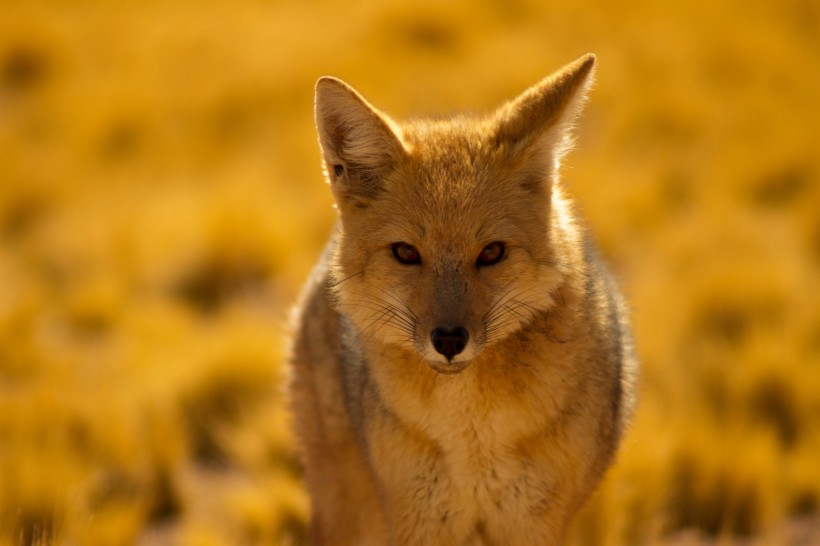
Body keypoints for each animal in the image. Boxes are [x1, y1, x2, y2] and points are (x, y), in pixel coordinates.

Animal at [288, 52, 640, 544]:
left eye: (491, 253)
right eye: (406, 253)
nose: (450, 340)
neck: (472, 438)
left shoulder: (533, 525)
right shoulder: (418, 522)